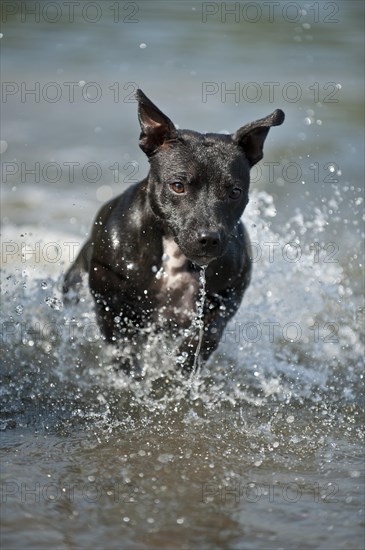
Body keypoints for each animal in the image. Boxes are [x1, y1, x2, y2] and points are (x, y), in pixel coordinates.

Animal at [63, 91, 284, 376]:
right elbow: (123, 347)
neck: (174, 254)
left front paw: (184, 364)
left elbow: (204, 336)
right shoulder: (110, 306)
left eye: (234, 191)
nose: (209, 238)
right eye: (178, 186)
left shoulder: (225, 298)